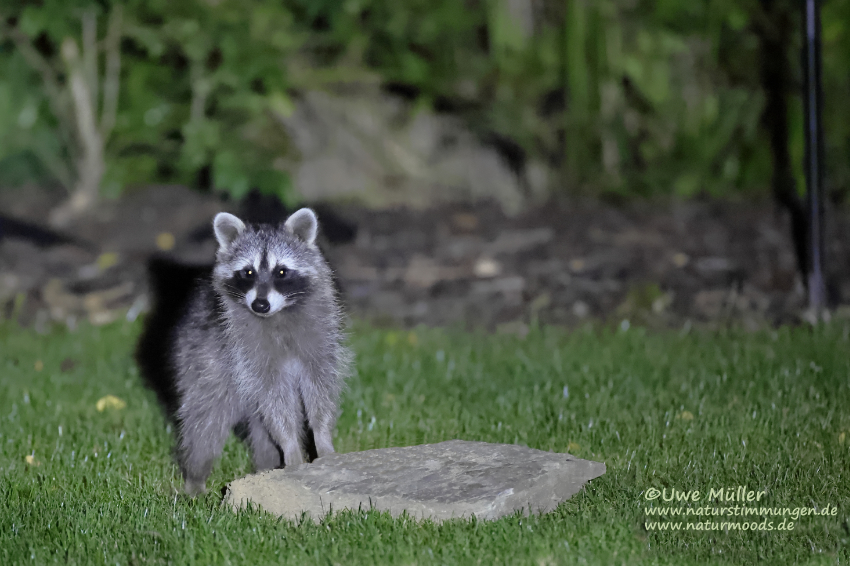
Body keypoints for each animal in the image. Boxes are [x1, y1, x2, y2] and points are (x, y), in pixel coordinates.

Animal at [171, 210, 350, 496]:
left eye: (281, 271)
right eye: (248, 272)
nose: (260, 305)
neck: (278, 314)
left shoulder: (321, 340)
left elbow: (320, 390)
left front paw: (323, 439)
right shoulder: (248, 353)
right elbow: (276, 404)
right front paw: (291, 448)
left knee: (258, 430)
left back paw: (265, 470)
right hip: (201, 360)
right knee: (205, 419)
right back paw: (196, 476)